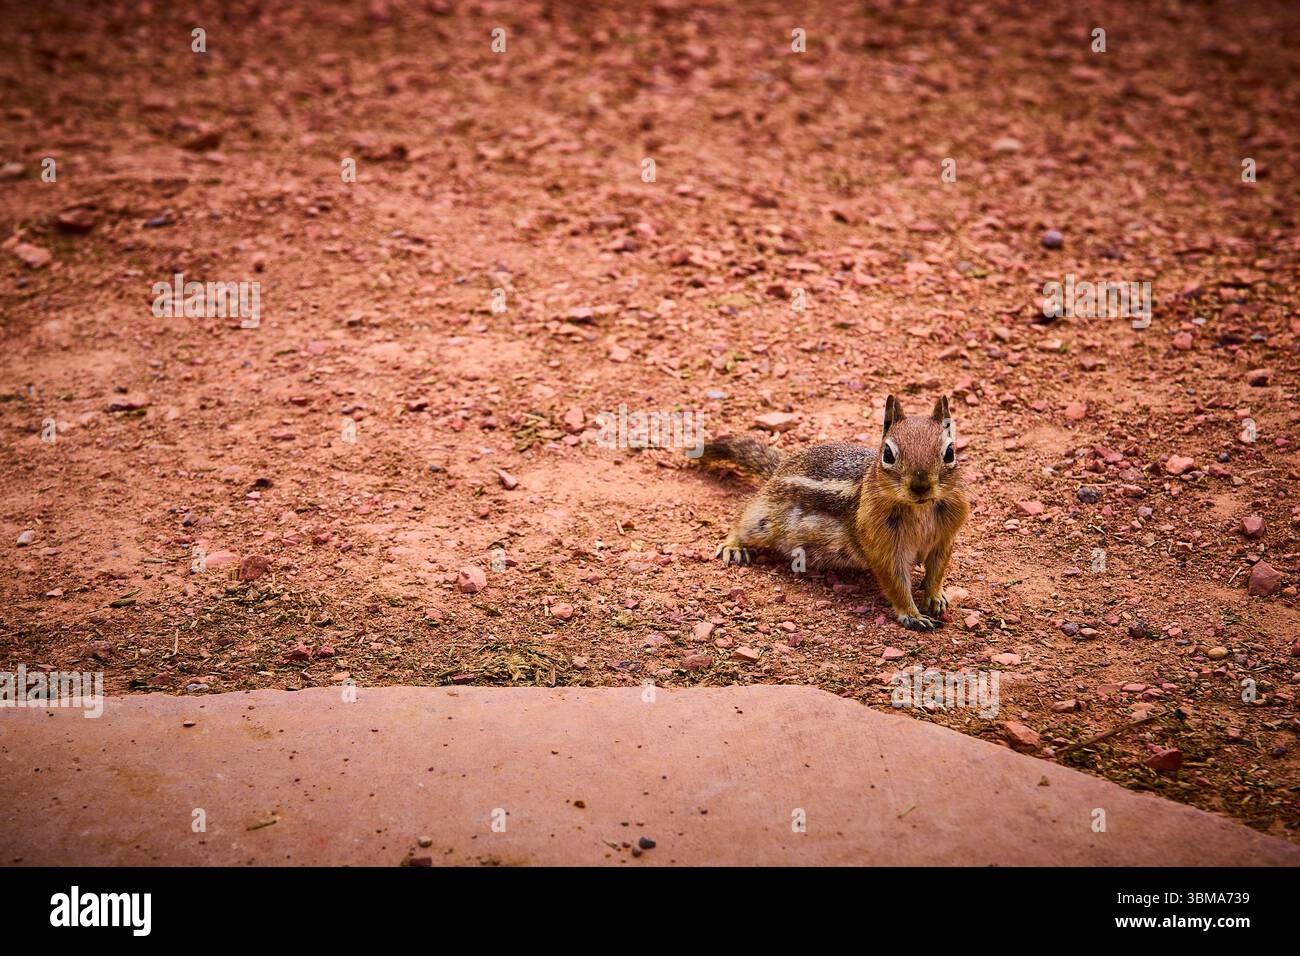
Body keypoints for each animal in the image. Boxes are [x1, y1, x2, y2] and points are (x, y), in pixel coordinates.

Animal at [694, 395, 969, 632]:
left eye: (950, 452)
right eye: (888, 454)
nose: (920, 486)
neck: (920, 508)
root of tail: (780, 466)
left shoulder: (944, 539)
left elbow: (936, 571)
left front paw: (935, 597)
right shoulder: (884, 547)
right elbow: (896, 582)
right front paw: (912, 615)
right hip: (763, 520)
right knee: (744, 516)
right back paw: (734, 546)